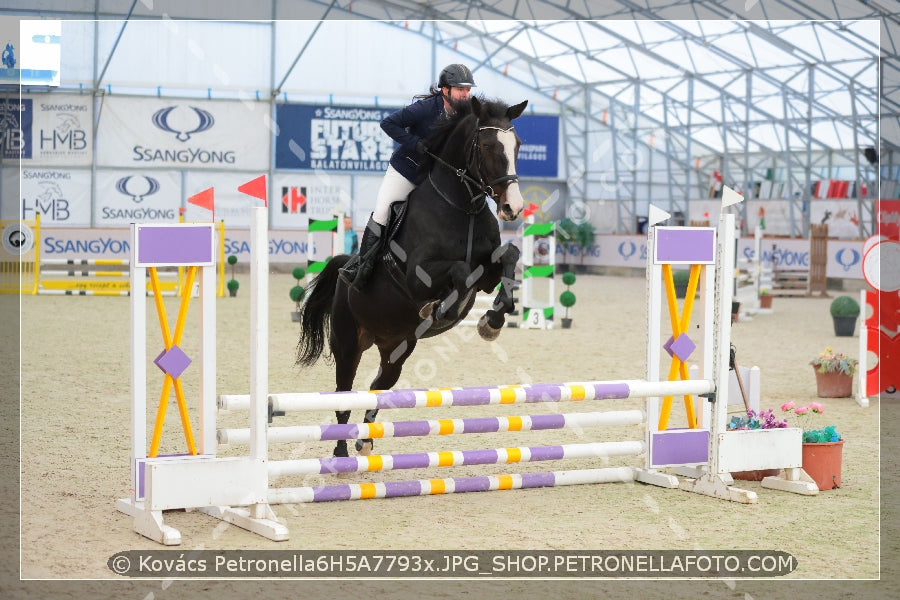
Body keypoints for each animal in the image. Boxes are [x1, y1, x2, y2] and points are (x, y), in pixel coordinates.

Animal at [298, 97, 528, 454]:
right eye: (488, 146)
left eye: (517, 145)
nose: (512, 208)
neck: (463, 206)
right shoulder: (419, 276)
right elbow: (459, 271)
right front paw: (440, 309)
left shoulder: (486, 275)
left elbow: (509, 257)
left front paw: (492, 321)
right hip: (348, 345)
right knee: (343, 397)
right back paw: (341, 454)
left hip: (397, 347)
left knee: (378, 386)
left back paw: (365, 441)